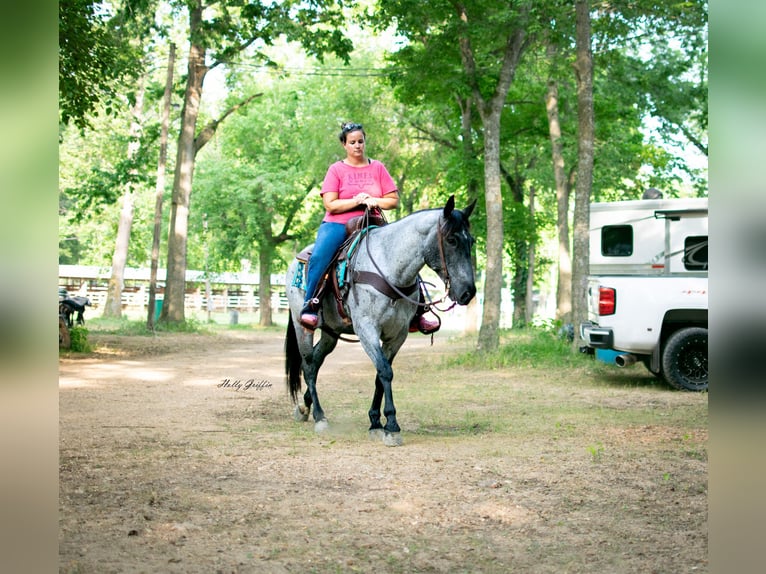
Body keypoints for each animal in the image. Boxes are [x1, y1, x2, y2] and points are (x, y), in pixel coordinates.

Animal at [284, 196, 476, 448]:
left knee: (315, 362)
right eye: (451, 240)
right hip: (302, 326)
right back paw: (319, 416)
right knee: (307, 365)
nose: (468, 292)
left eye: (471, 241)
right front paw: (391, 426)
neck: (389, 268)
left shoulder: (397, 335)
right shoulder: (367, 329)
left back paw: (304, 407)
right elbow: (385, 371)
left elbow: (380, 374)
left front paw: (375, 422)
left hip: (331, 332)